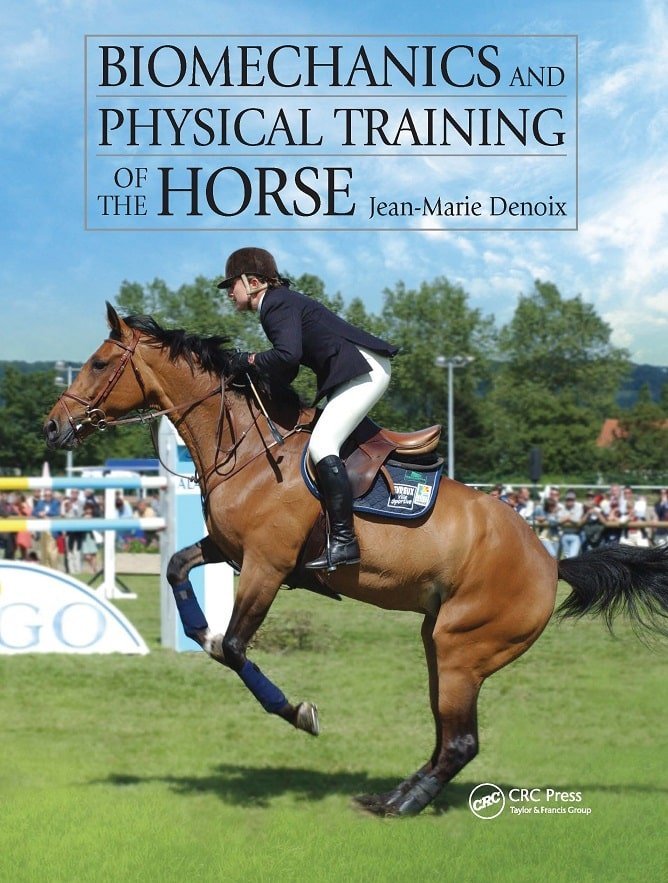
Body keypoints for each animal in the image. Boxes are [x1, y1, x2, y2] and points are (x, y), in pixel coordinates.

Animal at [44, 304, 668, 817]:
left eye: (99, 363)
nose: (52, 426)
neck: (248, 448)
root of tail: (550, 559)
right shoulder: (228, 549)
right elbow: (177, 570)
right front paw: (195, 629)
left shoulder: (267, 566)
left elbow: (234, 649)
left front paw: (298, 712)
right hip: (438, 640)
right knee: (447, 733)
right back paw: (394, 793)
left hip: (464, 646)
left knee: (461, 741)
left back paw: (402, 804)